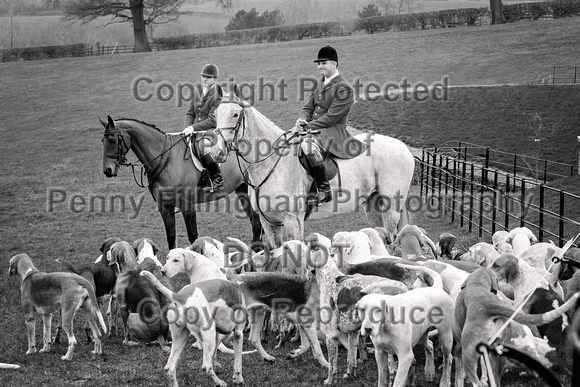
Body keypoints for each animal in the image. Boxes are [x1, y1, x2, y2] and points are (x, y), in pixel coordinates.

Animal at [101, 115, 262, 250]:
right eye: (103, 141)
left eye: (112, 140)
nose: (107, 170)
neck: (166, 159)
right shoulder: (164, 206)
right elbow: (171, 235)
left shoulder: (187, 205)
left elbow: (193, 236)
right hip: (242, 189)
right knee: (255, 221)